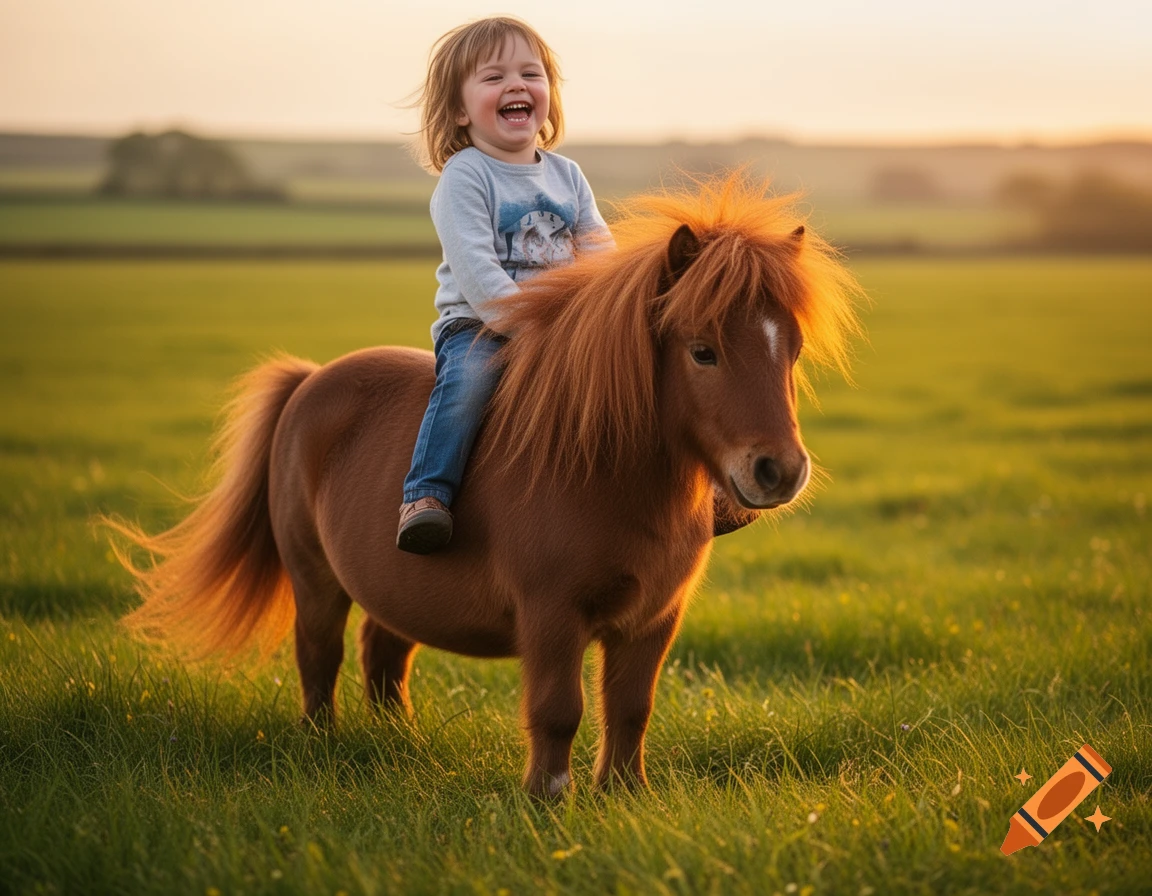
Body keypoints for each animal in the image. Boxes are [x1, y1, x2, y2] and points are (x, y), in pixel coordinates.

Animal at [113, 174, 862, 798]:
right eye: (702, 351)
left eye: (791, 349)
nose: (779, 471)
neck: (605, 470)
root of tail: (310, 380)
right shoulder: (551, 613)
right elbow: (559, 709)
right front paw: (548, 798)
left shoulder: (654, 617)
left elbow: (630, 708)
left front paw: (625, 795)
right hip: (314, 575)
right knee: (320, 656)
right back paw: (321, 744)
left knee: (384, 657)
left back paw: (399, 743)